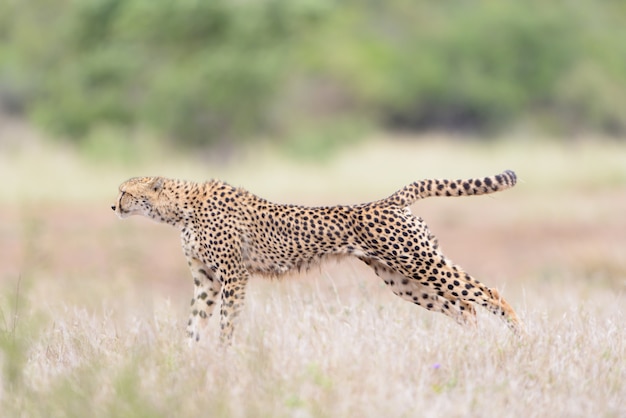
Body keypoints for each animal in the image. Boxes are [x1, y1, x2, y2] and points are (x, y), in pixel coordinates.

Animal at [112, 170, 520, 342]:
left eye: (125, 191)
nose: (112, 206)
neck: (182, 208)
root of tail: (389, 199)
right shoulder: (207, 280)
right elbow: (194, 323)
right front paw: (189, 361)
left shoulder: (233, 276)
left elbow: (227, 323)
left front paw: (224, 357)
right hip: (401, 278)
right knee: (464, 308)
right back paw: (470, 350)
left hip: (418, 262)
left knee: (487, 293)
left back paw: (519, 338)